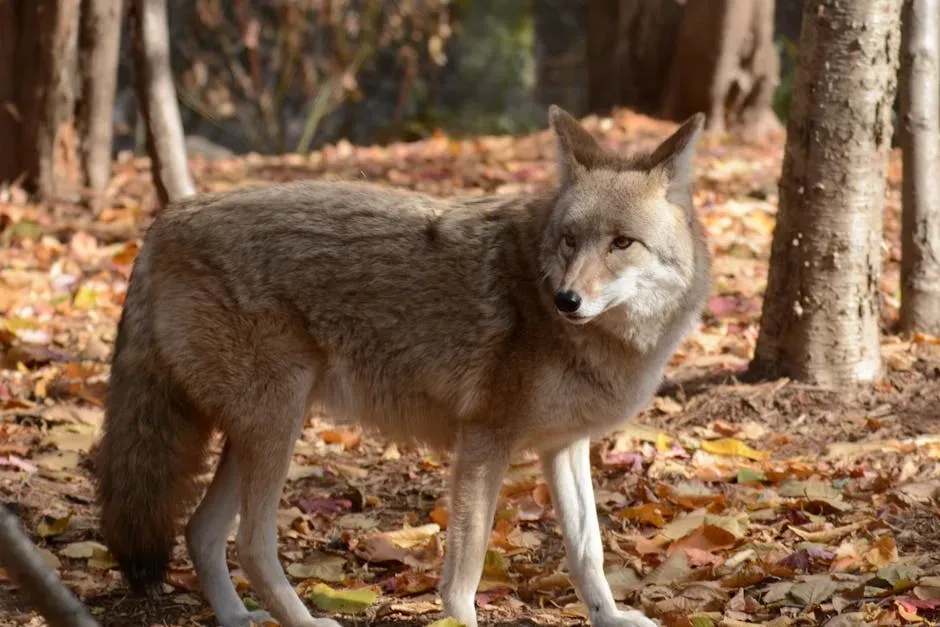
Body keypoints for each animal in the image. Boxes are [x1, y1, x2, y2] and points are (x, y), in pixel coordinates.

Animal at [95, 106, 710, 627]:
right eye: (569, 241)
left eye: (621, 244)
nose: (566, 299)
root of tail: (164, 221)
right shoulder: (483, 444)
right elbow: (465, 569)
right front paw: (460, 621)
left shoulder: (562, 446)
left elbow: (588, 550)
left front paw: (610, 617)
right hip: (276, 427)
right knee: (248, 543)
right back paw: (304, 620)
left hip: (257, 432)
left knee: (200, 531)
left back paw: (236, 616)